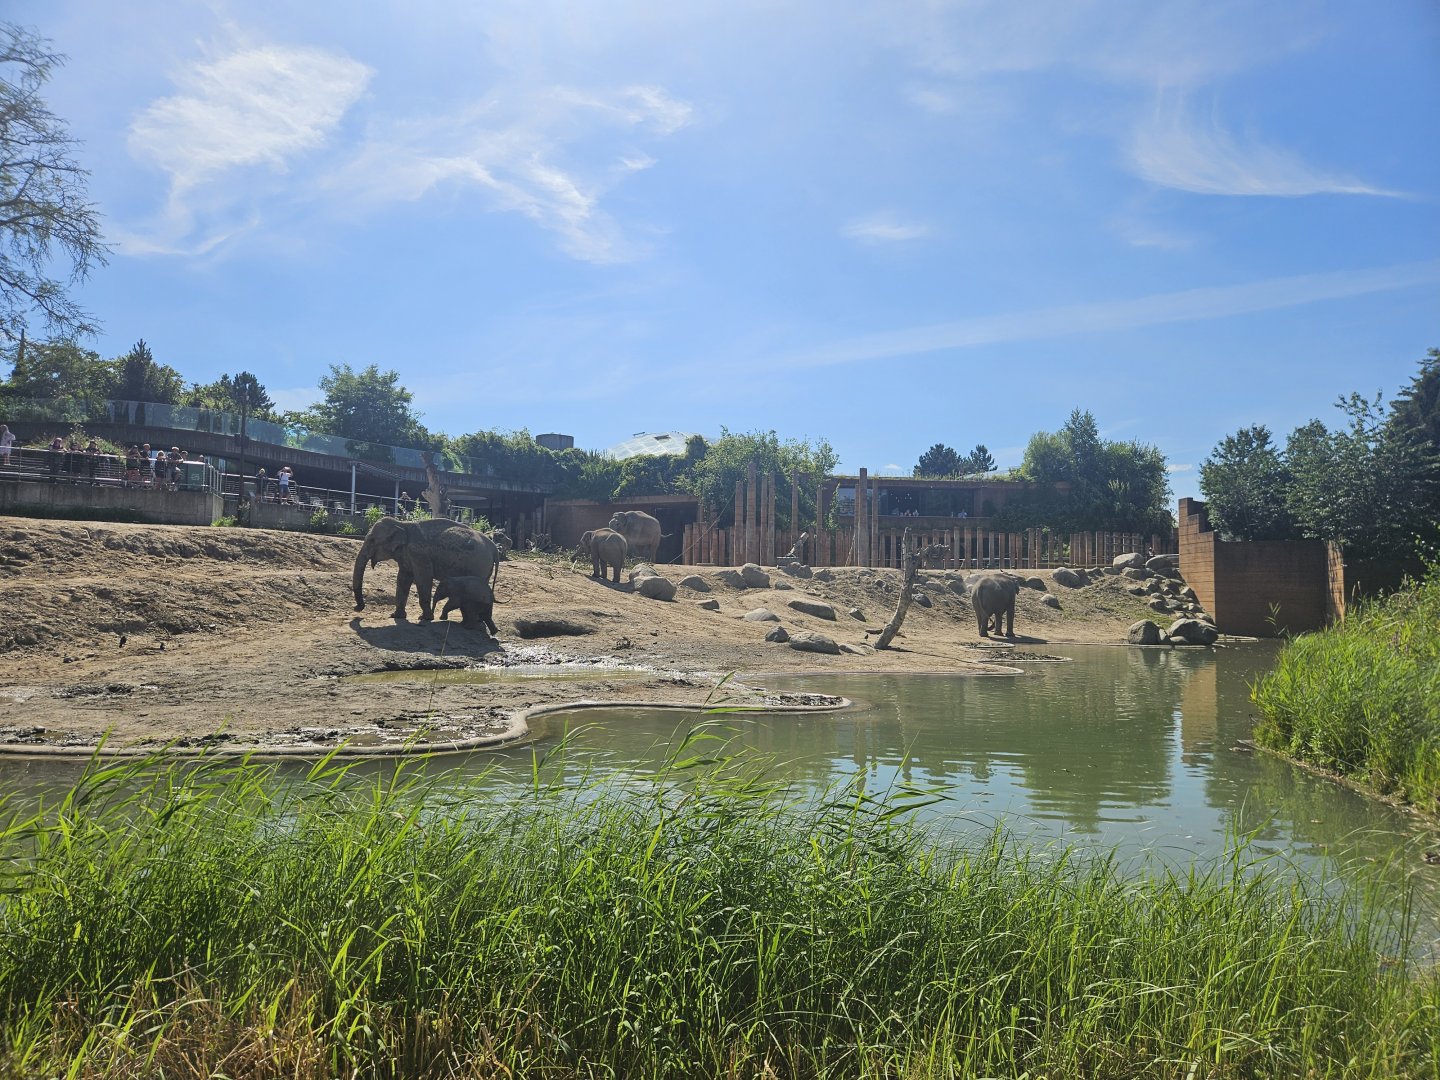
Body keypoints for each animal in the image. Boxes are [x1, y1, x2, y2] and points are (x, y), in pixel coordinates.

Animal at [352, 516, 499, 623]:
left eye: (372, 540)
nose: (358, 608)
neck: (402, 523)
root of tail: (494, 547)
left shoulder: (418, 553)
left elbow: (423, 578)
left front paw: (424, 618)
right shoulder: (406, 556)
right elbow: (403, 579)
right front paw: (396, 616)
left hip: (479, 565)